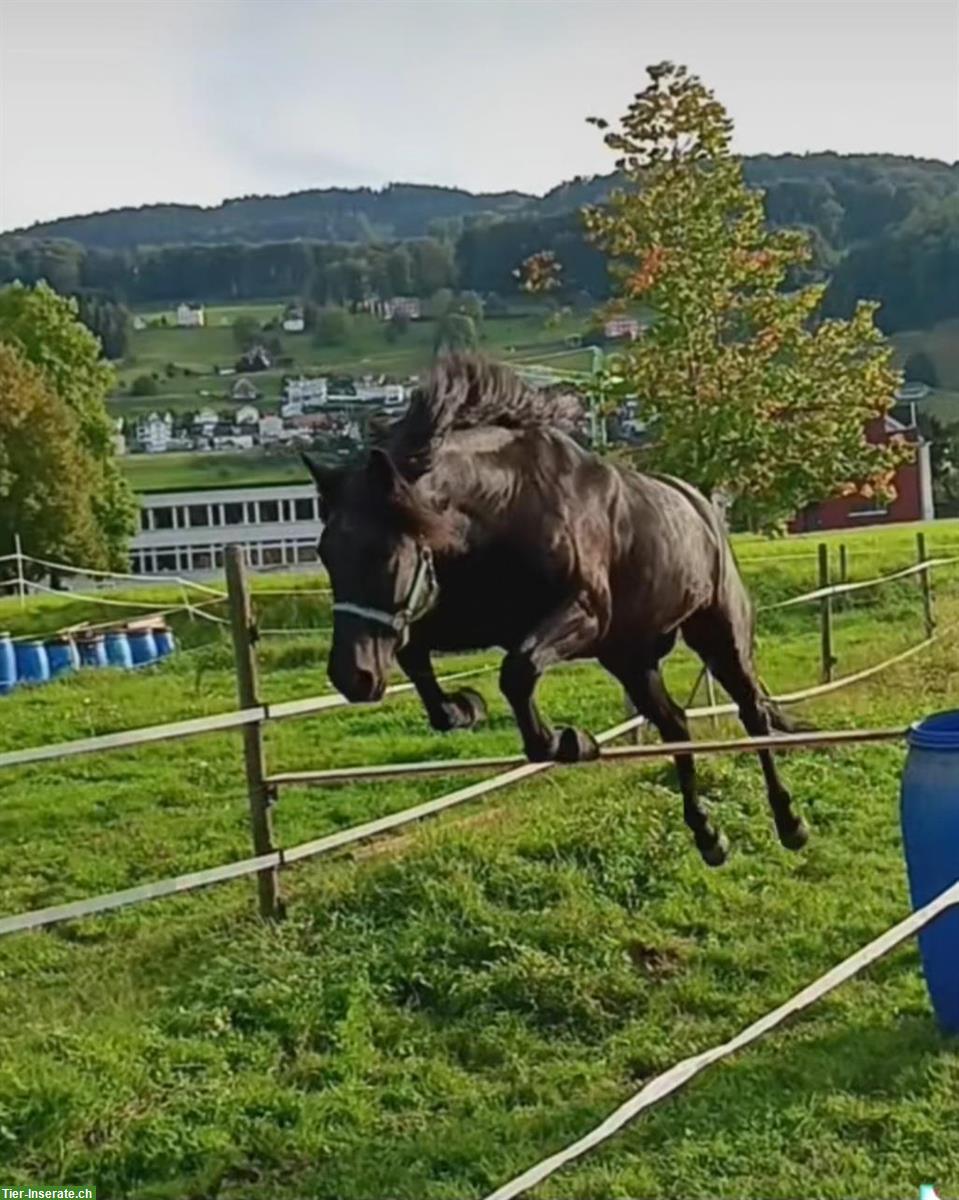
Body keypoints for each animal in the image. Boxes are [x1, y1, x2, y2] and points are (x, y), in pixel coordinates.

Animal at [306, 352, 811, 864]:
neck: (506, 504)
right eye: (325, 553)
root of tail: (702, 507)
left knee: (752, 713)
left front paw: (568, 741)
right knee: (676, 724)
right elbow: (415, 653)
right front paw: (464, 707)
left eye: (383, 553)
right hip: (630, 657)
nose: (352, 678)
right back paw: (709, 837)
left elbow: (518, 671)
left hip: (718, 633)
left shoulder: (582, 614)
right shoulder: (471, 620)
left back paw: (790, 824)